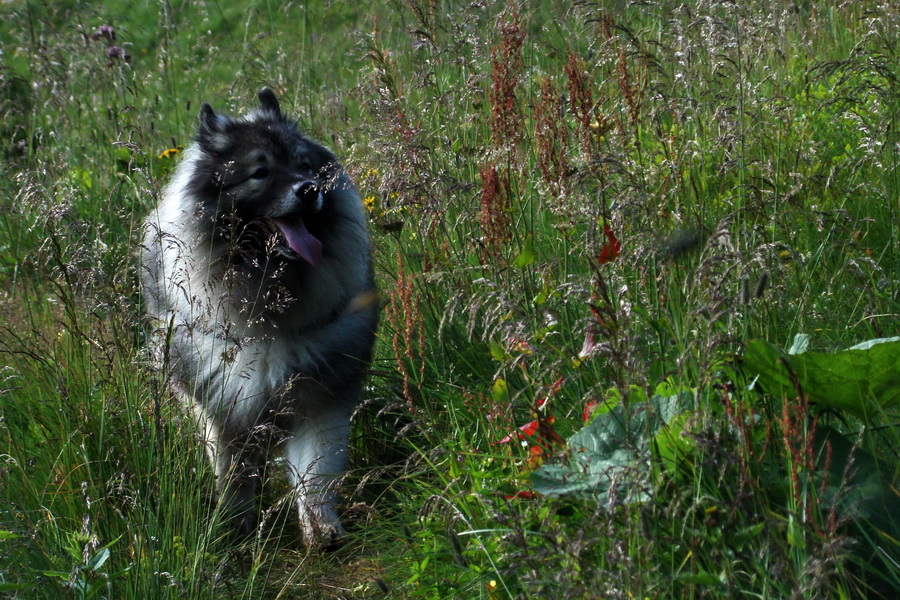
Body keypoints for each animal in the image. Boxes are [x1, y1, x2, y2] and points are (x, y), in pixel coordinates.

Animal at [140, 89, 376, 548]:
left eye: (305, 165)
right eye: (260, 172)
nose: (309, 189)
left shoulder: (319, 398)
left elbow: (316, 472)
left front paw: (322, 529)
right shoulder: (222, 405)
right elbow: (232, 474)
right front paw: (234, 530)